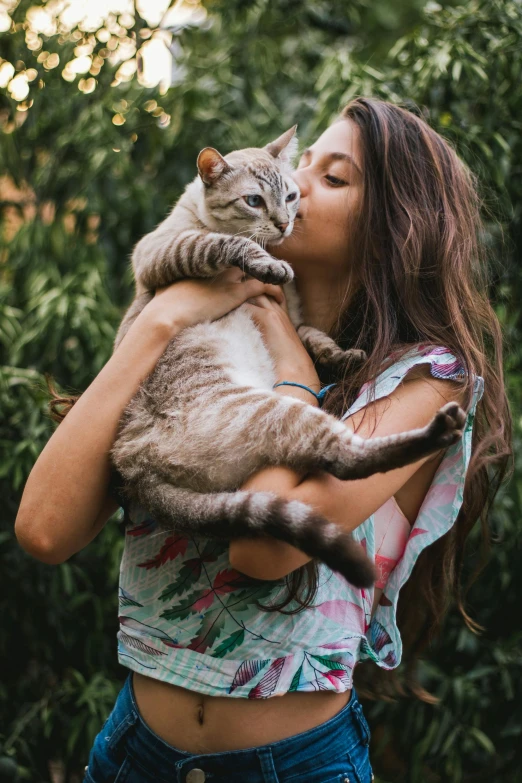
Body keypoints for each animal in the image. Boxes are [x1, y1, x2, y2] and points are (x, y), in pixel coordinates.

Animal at [106, 125, 464, 588]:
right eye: (254, 201)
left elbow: (314, 338)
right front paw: (267, 264)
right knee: (344, 460)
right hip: (271, 409)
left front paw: (344, 356)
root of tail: (131, 465)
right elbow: (224, 242)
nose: (284, 223)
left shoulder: (294, 318)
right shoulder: (161, 250)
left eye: (291, 196)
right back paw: (441, 430)